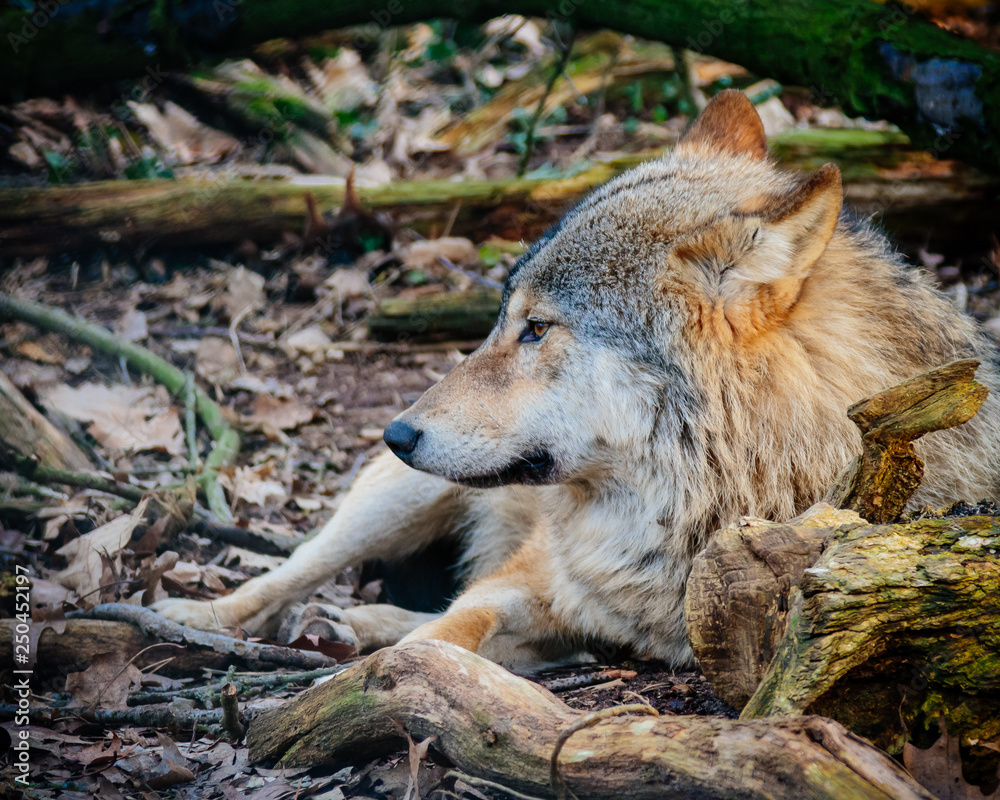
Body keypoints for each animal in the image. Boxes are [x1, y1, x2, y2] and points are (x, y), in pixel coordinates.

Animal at [155, 91, 1000, 671]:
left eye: (537, 328)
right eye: (505, 319)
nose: (397, 432)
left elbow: (449, 638)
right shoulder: (531, 577)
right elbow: (452, 623)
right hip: (396, 501)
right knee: (289, 573)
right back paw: (192, 617)